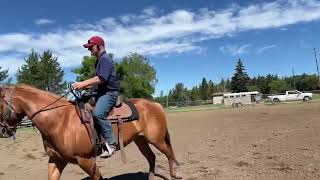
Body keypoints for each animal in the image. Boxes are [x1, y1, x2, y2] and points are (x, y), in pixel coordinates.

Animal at [0, 84, 181, 180]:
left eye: (0, 104)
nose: (3, 131)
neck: (59, 120)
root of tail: (155, 104)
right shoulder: (56, 159)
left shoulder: (86, 161)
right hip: (141, 140)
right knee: (152, 157)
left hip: (156, 139)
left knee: (169, 152)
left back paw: (175, 174)